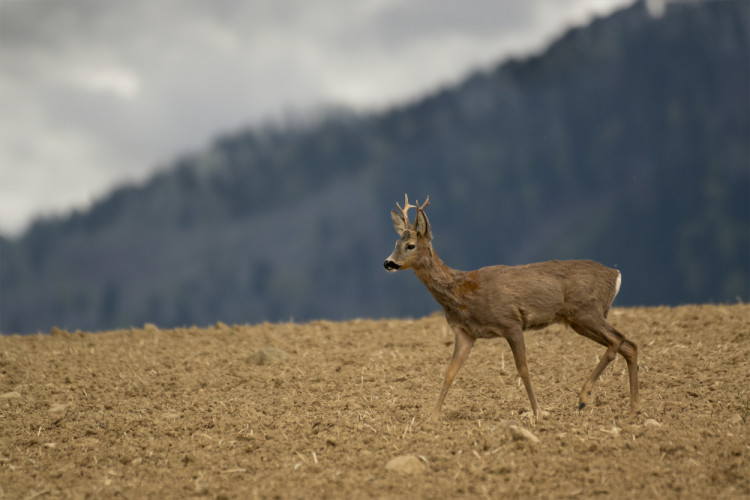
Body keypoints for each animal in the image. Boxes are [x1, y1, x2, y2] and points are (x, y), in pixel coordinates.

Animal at [384, 194, 644, 418]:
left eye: (410, 245)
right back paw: (633, 410)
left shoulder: (511, 322)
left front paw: (538, 413)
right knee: (629, 345)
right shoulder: (465, 333)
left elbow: (523, 370)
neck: (462, 291)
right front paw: (432, 417)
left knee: (617, 340)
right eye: (396, 242)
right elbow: (449, 372)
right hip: (580, 320)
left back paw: (584, 397)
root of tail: (615, 274)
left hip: (587, 311)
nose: (388, 263)